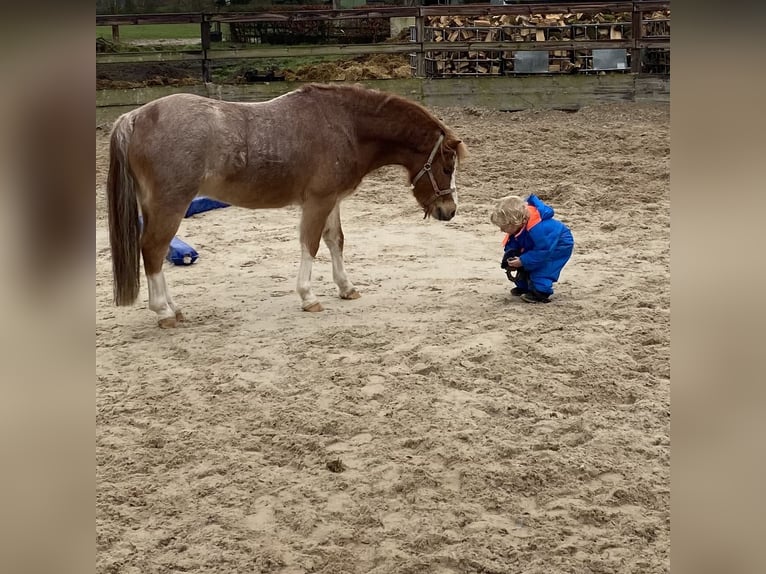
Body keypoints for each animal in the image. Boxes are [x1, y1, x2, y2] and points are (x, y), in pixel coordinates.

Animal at [106, 83, 467, 328]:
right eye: (446, 167)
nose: (449, 211)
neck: (346, 125)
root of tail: (134, 117)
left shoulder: (332, 200)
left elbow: (335, 241)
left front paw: (346, 287)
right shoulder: (318, 202)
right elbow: (310, 244)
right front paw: (308, 297)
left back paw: (174, 307)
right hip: (171, 205)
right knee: (153, 249)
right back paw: (164, 311)